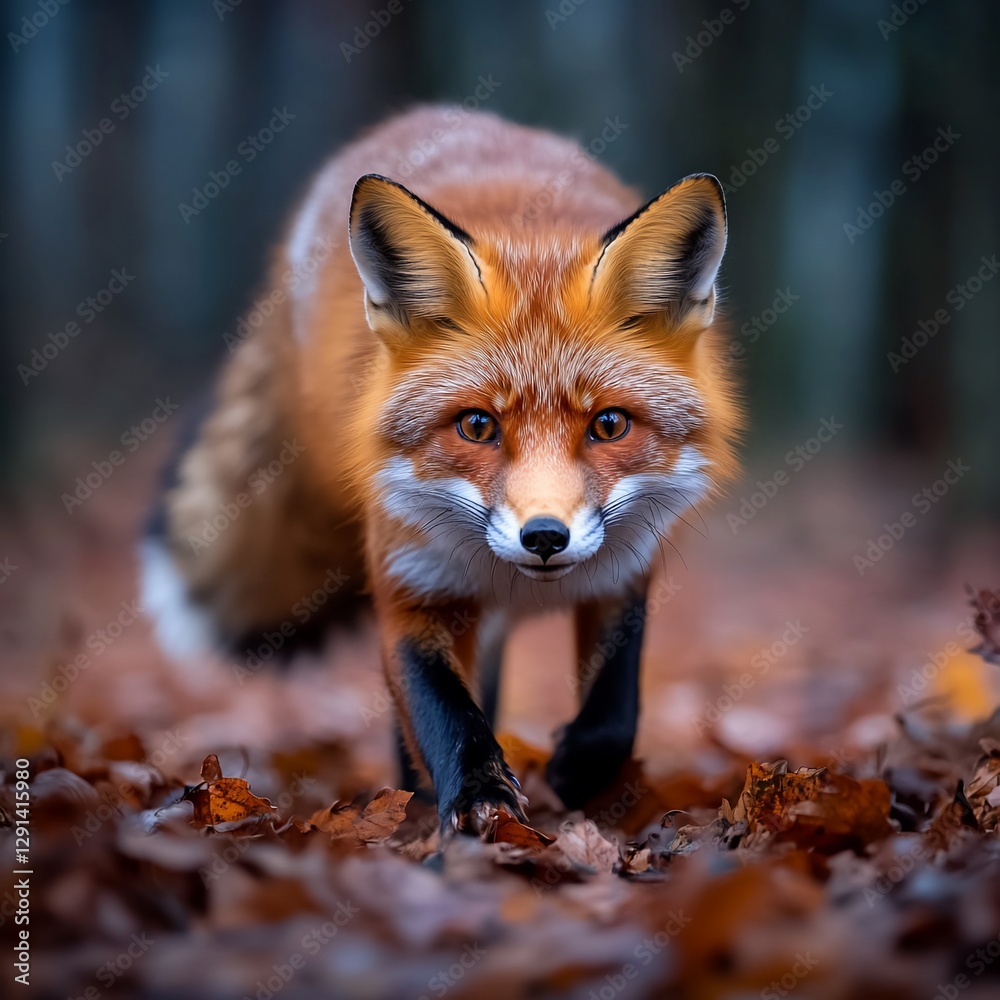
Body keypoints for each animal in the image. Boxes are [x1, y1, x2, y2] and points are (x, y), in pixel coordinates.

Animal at [142, 106, 740, 834]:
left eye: (609, 426)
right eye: (477, 426)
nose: (545, 537)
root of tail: (428, 113)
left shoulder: (622, 575)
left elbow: (614, 715)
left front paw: (572, 770)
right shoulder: (411, 586)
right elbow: (446, 718)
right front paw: (477, 802)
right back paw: (416, 804)